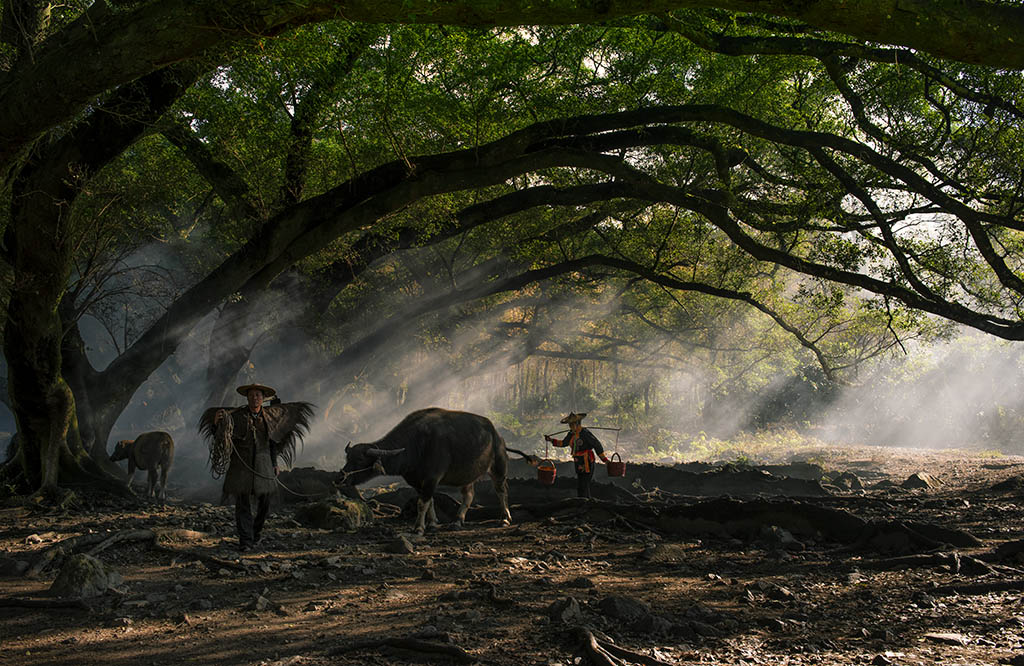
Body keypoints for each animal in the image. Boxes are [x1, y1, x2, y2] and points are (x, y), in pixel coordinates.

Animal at [339, 407, 540, 532]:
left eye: (359, 459)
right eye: (347, 458)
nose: (341, 477)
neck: (415, 444)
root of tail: (498, 436)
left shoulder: (431, 478)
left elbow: (422, 503)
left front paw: (419, 527)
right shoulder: (418, 482)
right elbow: (429, 502)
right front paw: (433, 524)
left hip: (498, 467)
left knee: (501, 490)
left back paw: (505, 518)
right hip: (467, 475)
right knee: (469, 495)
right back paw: (457, 521)